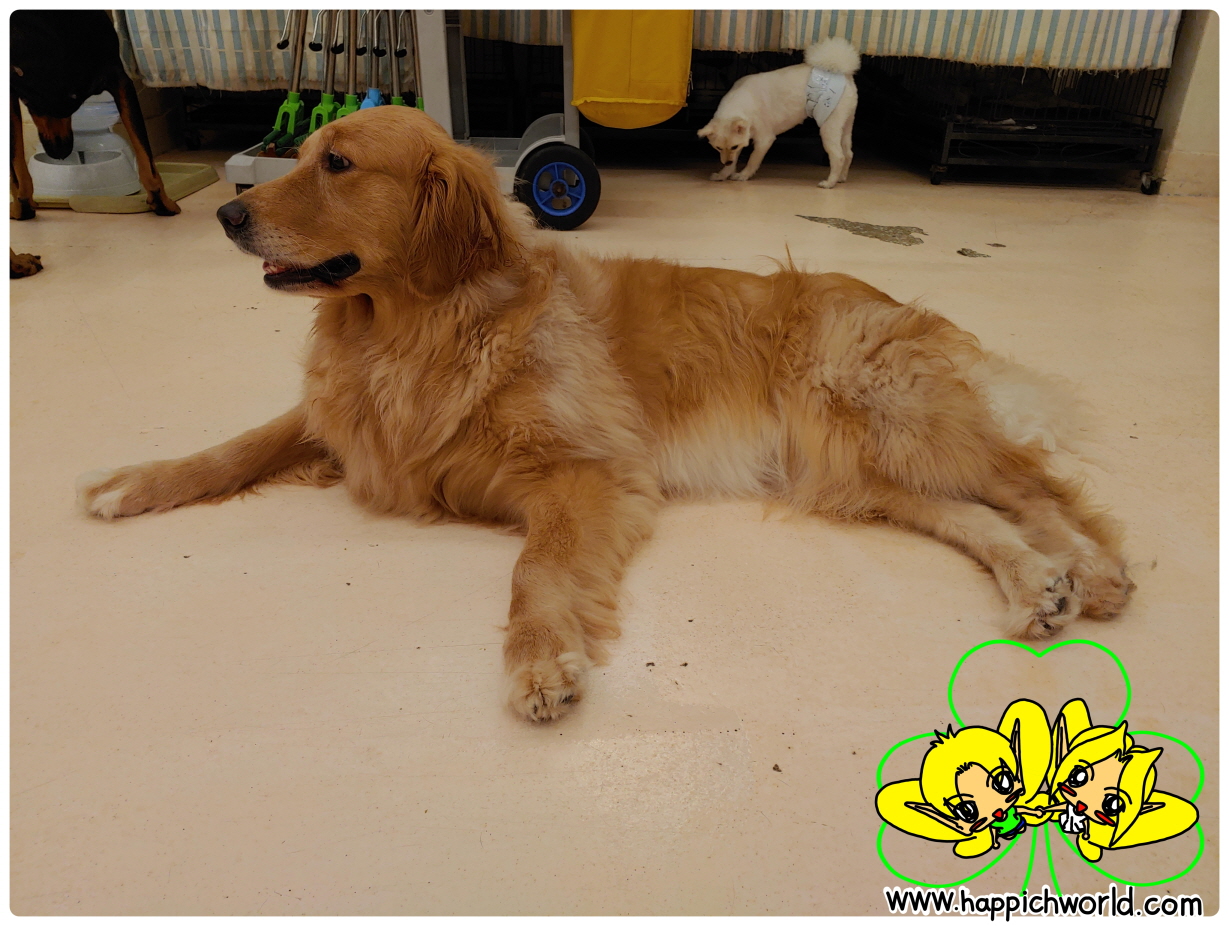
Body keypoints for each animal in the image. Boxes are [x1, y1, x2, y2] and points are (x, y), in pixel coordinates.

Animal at [77, 107, 1133, 722]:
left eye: (337, 164)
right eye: (297, 157)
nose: (225, 214)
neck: (416, 331)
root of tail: (894, 302)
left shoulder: (584, 471)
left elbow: (535, 569)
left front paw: (539, 660)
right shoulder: (355, 422)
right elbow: (243, 441)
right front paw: (137, 480)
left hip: (888, 419)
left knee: (1034, 484)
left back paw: (1090, 570)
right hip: (851, 470)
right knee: (974, 515)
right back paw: (1035, 583)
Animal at [699, 37, 860, 187]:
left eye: (733, 147)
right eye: (718, 148)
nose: (726, 162)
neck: (741, 103)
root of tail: (843, 73)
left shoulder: (764, 140)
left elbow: (752, 160)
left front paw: (743, 175)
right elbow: (734, 162)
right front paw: (723, 174)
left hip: (828, 127)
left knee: (838, 156)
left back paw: (829, 183)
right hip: (846, 124)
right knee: (848, 153)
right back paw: (841, 178)